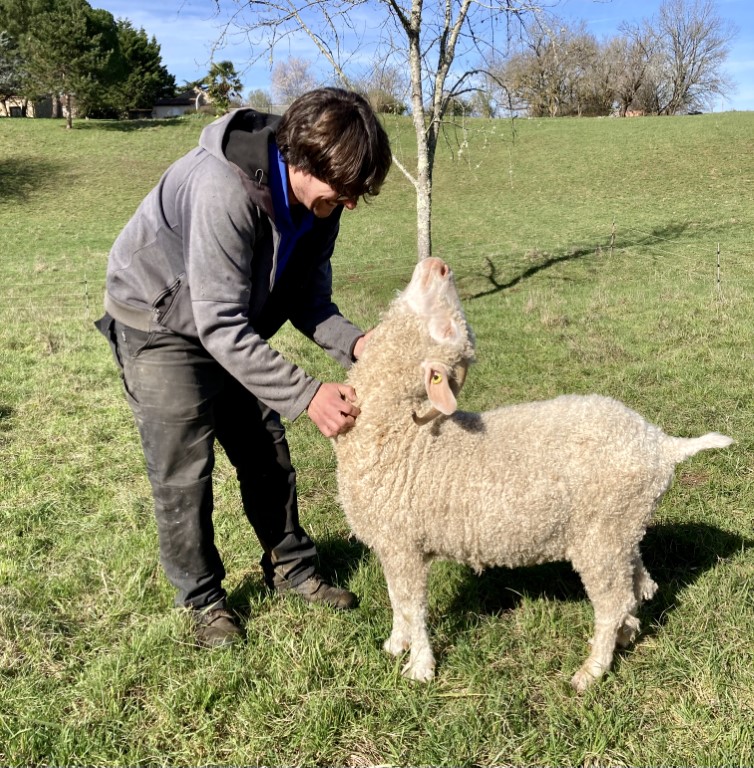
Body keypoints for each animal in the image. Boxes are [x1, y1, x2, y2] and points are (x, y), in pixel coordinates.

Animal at [332, 256, 732, 688]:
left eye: (449, 328)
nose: (439, 265)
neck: (400, 436)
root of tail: (660, 444)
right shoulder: (390, 545)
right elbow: (397, 601)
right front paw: (396, 644)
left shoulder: (404, 543)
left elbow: (414, 606)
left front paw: (420, 667)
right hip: (623, 528)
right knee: (640, 582)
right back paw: (626, 634)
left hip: (600, 536)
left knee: (613, 600)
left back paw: (591, 670)